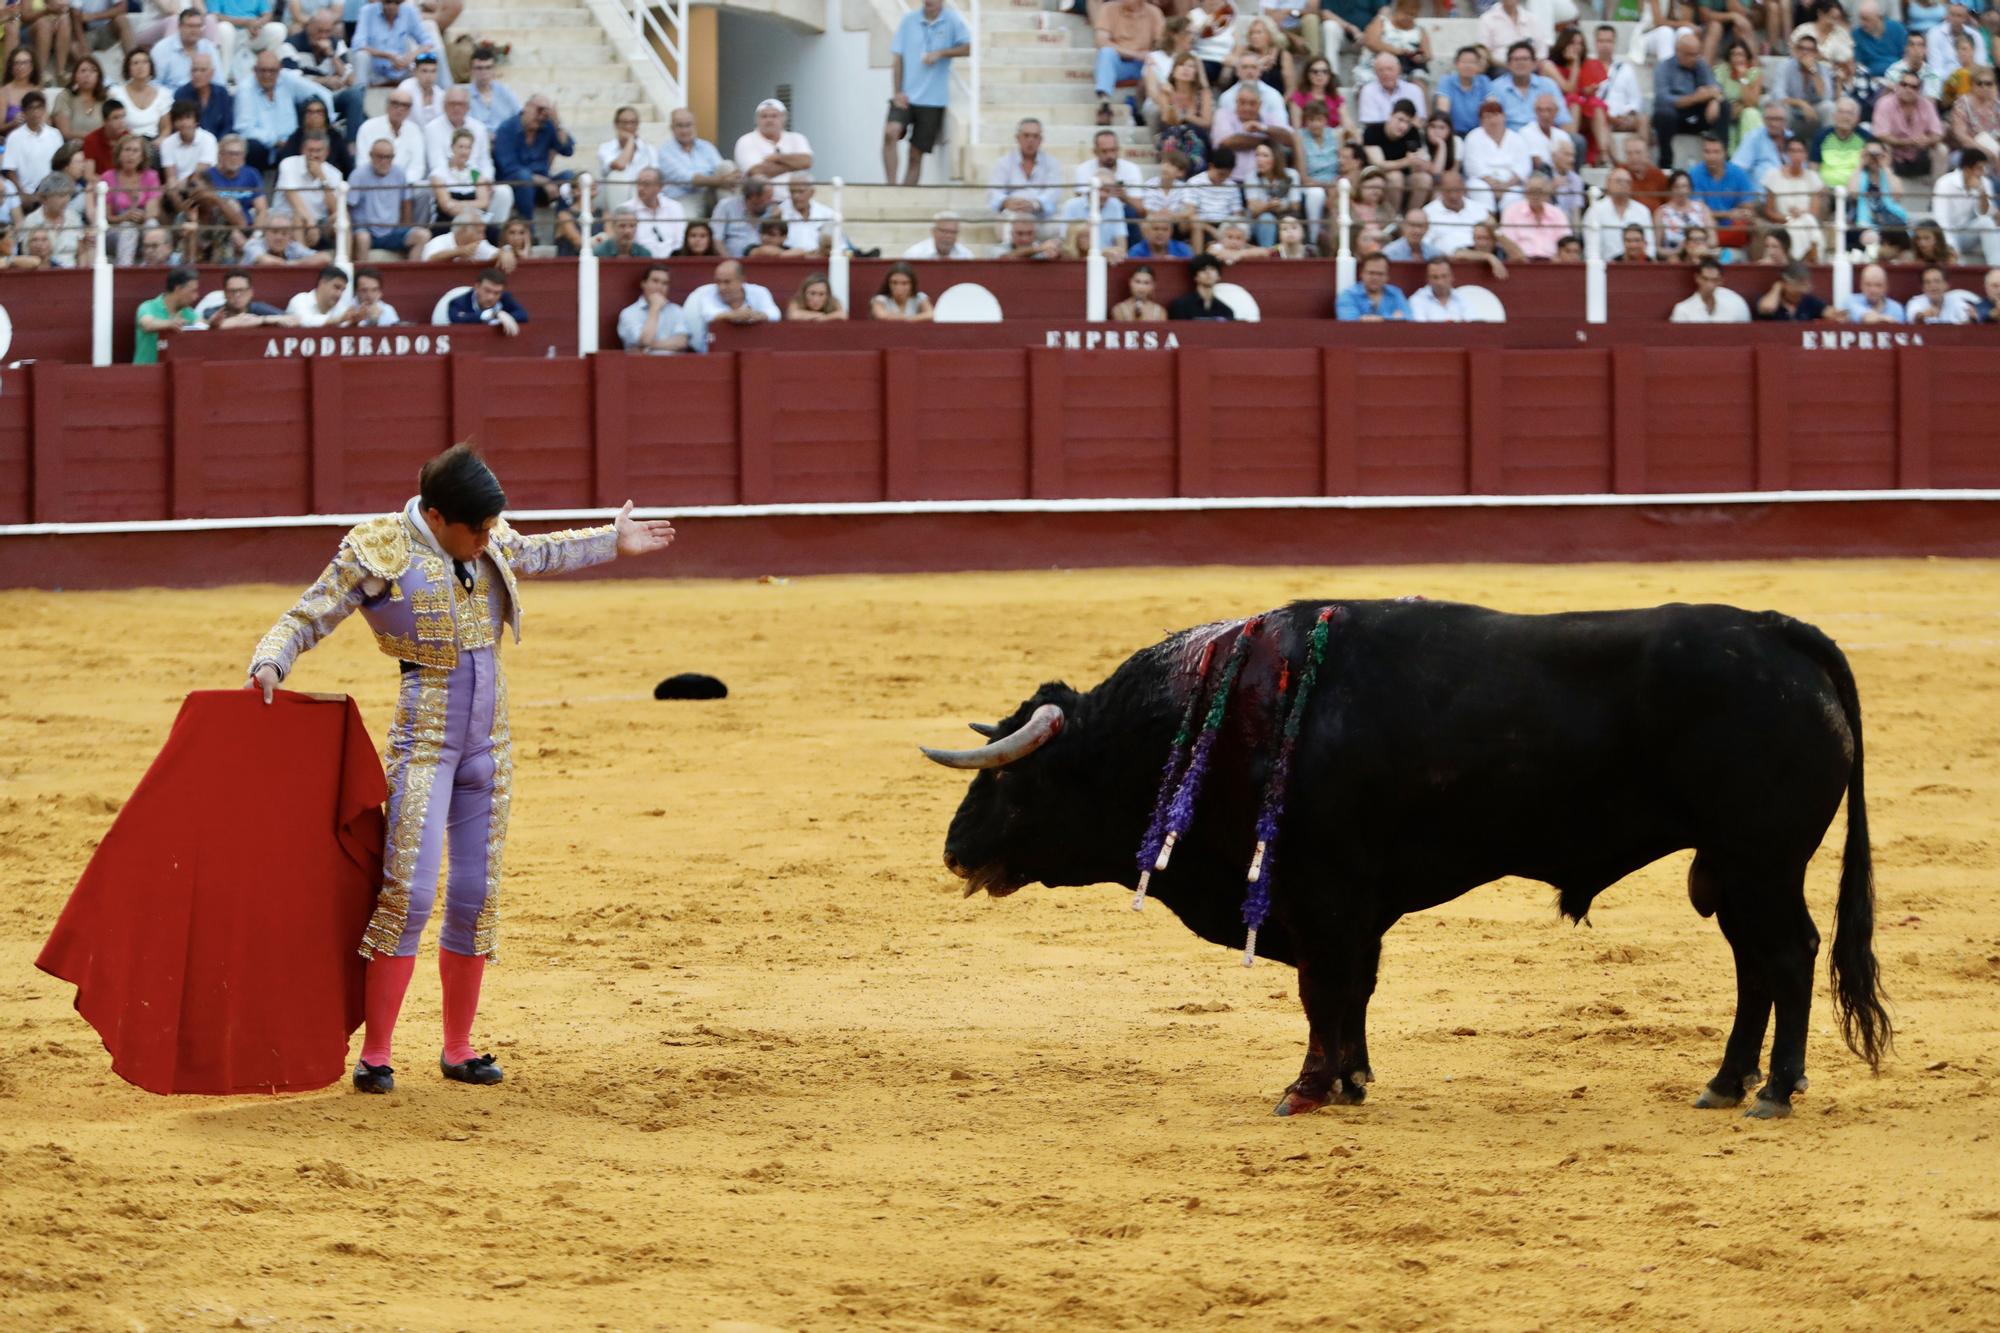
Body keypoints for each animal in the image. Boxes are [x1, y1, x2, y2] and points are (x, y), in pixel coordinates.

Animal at [920, 596, 1888, 1112]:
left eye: (1014, 782)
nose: (955, 851)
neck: (1208, 723)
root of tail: (1779, 631)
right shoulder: (1349, 909)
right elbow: (1352, 992)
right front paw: (1350, 1078)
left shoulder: (1320, 897)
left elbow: (1323, 990)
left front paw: (1308, 1088)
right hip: (1735, 867)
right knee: (1755, 963)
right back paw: (1726, 1080)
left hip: (1762, 860)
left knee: (1788, 954)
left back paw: (1775, 1088)